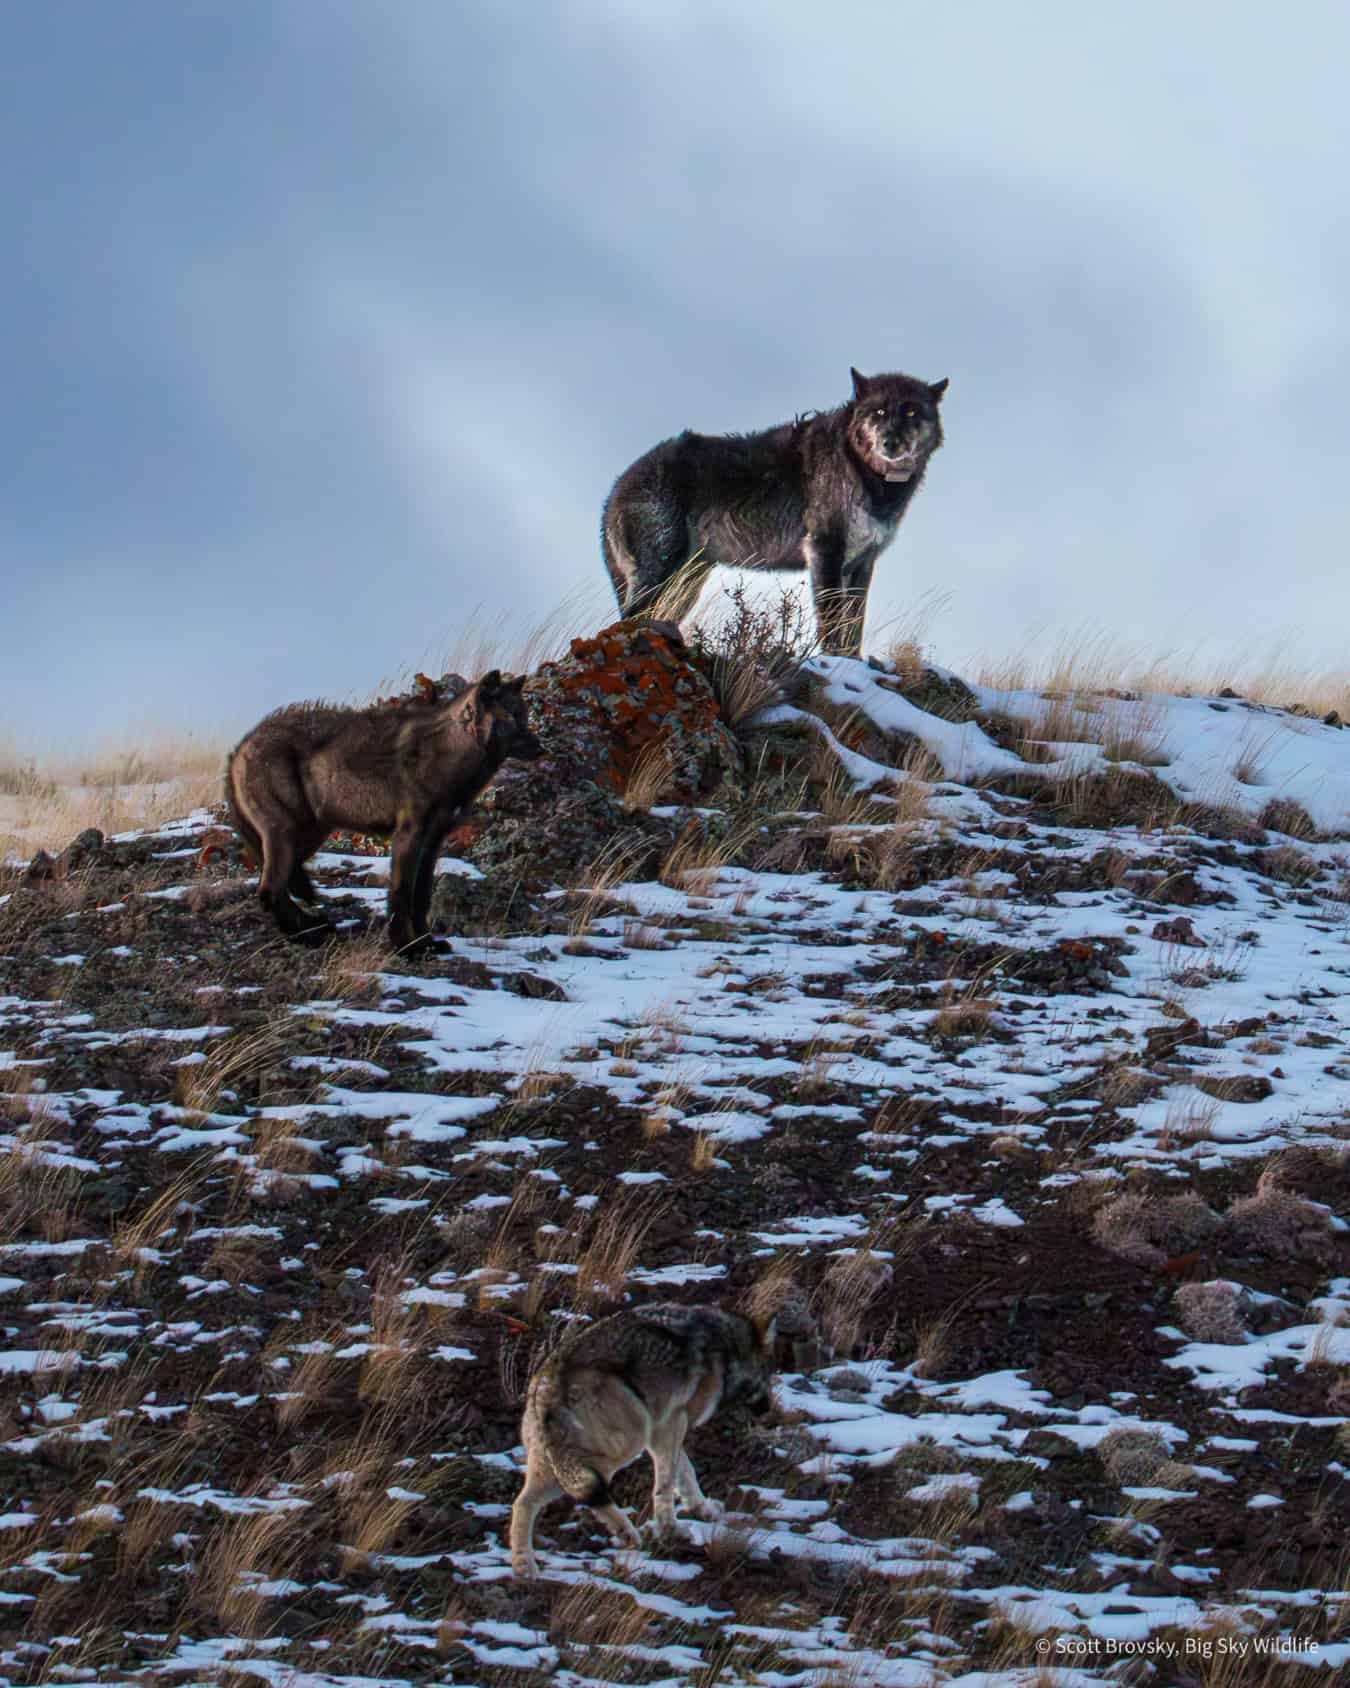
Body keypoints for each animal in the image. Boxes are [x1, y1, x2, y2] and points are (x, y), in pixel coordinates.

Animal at [225, 672, 542, 950]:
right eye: (509, 718)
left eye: (524, 716)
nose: (542, 748)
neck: (448, 757)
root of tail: (240, 745)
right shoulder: (408, 836)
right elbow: (401, 893)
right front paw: (406, 947)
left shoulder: (434, 841)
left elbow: (422, 895)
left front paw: (426, 942)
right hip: (290, 835)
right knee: (269, 890)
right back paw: (307, 936)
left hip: (309, 836)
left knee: (282, 884)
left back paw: (312, 926)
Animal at [509, 1300, 778, 1578]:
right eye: (768, 1377)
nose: (770, 1412)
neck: (727, 1352)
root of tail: (547, 1383)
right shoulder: (670, 1425)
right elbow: (666, 1485)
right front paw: (671, 1529)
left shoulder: (663, 1431)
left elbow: (686, 1475)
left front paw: (702, 1509)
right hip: (624, 1444)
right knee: (586, 1493)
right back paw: (626, 1533)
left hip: (554, 1467)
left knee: (522, 1504)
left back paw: (524, 1567)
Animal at [602, 368, 948, 656]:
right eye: (879, 412)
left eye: (911, 411)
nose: (890, 442)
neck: (860, 467)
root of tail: (616, 488)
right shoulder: (825, 551)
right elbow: (832, 621)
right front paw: (838, 661)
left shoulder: (863, 563)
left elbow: (854, 626)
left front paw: (856, 661)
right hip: (661, 571)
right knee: (628, 619)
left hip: (685, 584)